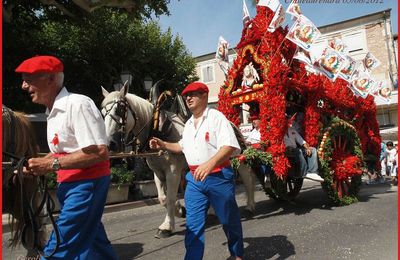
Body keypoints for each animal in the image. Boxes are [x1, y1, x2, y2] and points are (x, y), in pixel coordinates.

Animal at [101, 84, 187, 238]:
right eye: (102, 112)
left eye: (120, 109)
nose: (109, 144)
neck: (157, 129)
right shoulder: (158, 172)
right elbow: (163, 198)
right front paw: (179, 210)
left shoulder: (173, 172)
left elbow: (170, 198)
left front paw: (167, 226)